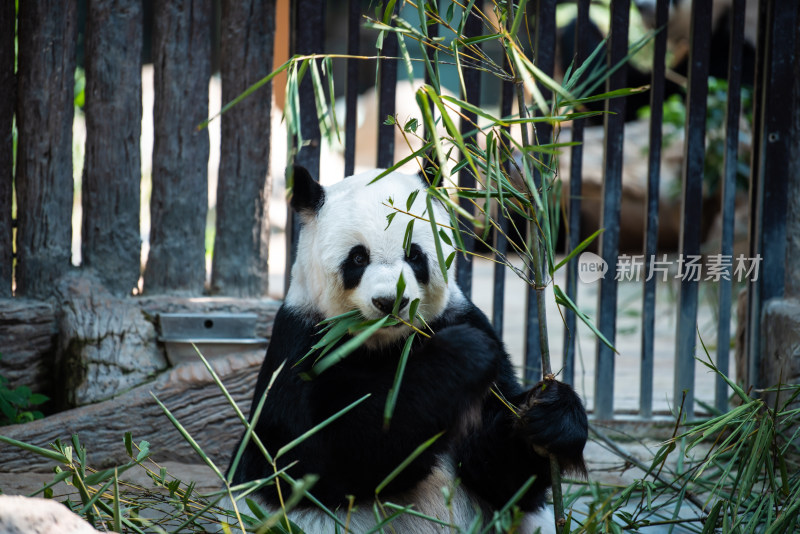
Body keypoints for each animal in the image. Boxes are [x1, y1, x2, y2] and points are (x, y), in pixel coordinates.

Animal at [225, 165, 588, 532]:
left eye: (414, 255)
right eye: (358, 257)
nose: (390, 301)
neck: (388, 342)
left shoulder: (460, 317)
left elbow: (501, 475)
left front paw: (550, 415)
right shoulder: (303, 346)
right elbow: (318, 456)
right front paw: (460, 357)